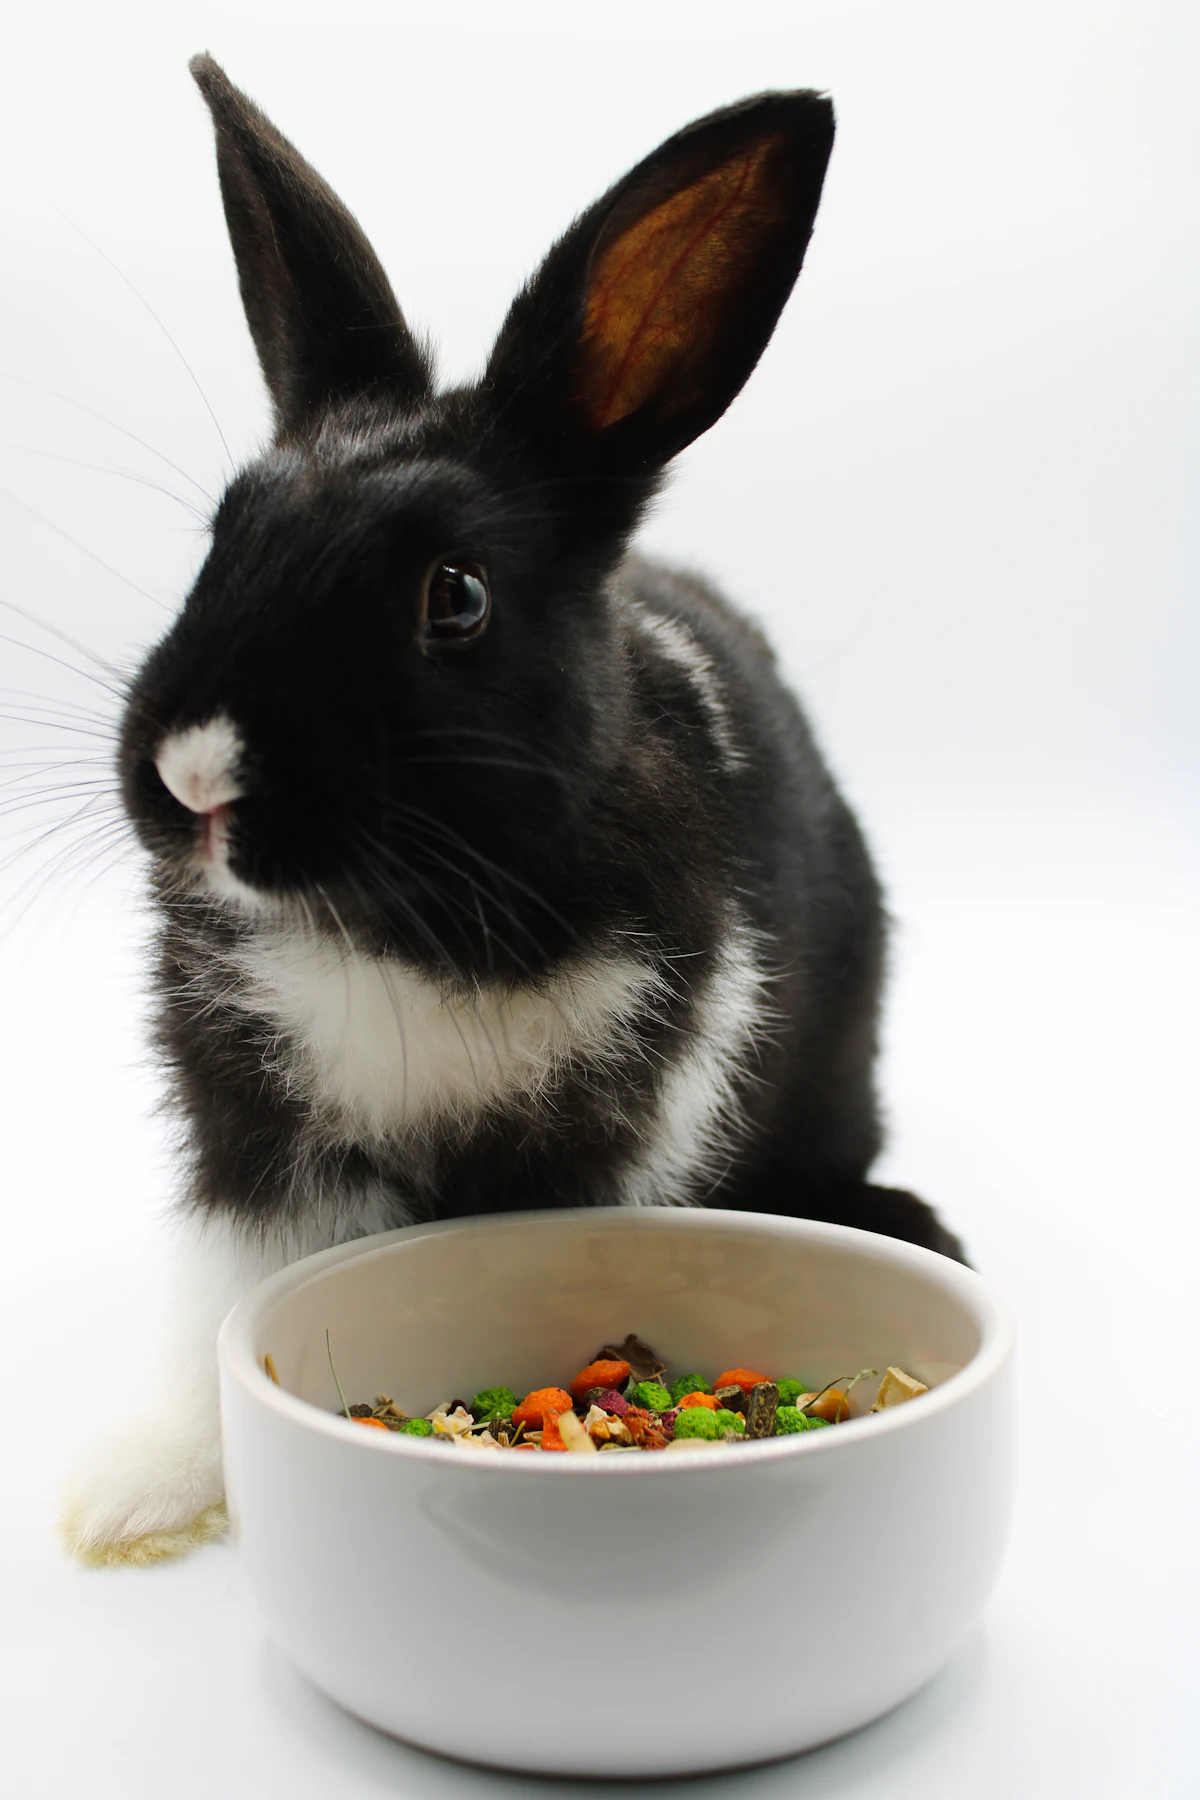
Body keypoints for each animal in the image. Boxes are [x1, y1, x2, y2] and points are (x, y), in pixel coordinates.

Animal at [60, 55, 965, 1563]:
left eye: (458, 595)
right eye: (224, 535)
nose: (196, 777)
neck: (402, 921)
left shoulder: (613, 1126)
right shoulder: (254, 1138)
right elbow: (219, 1304)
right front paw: (137, 1498)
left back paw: (909, 1223)